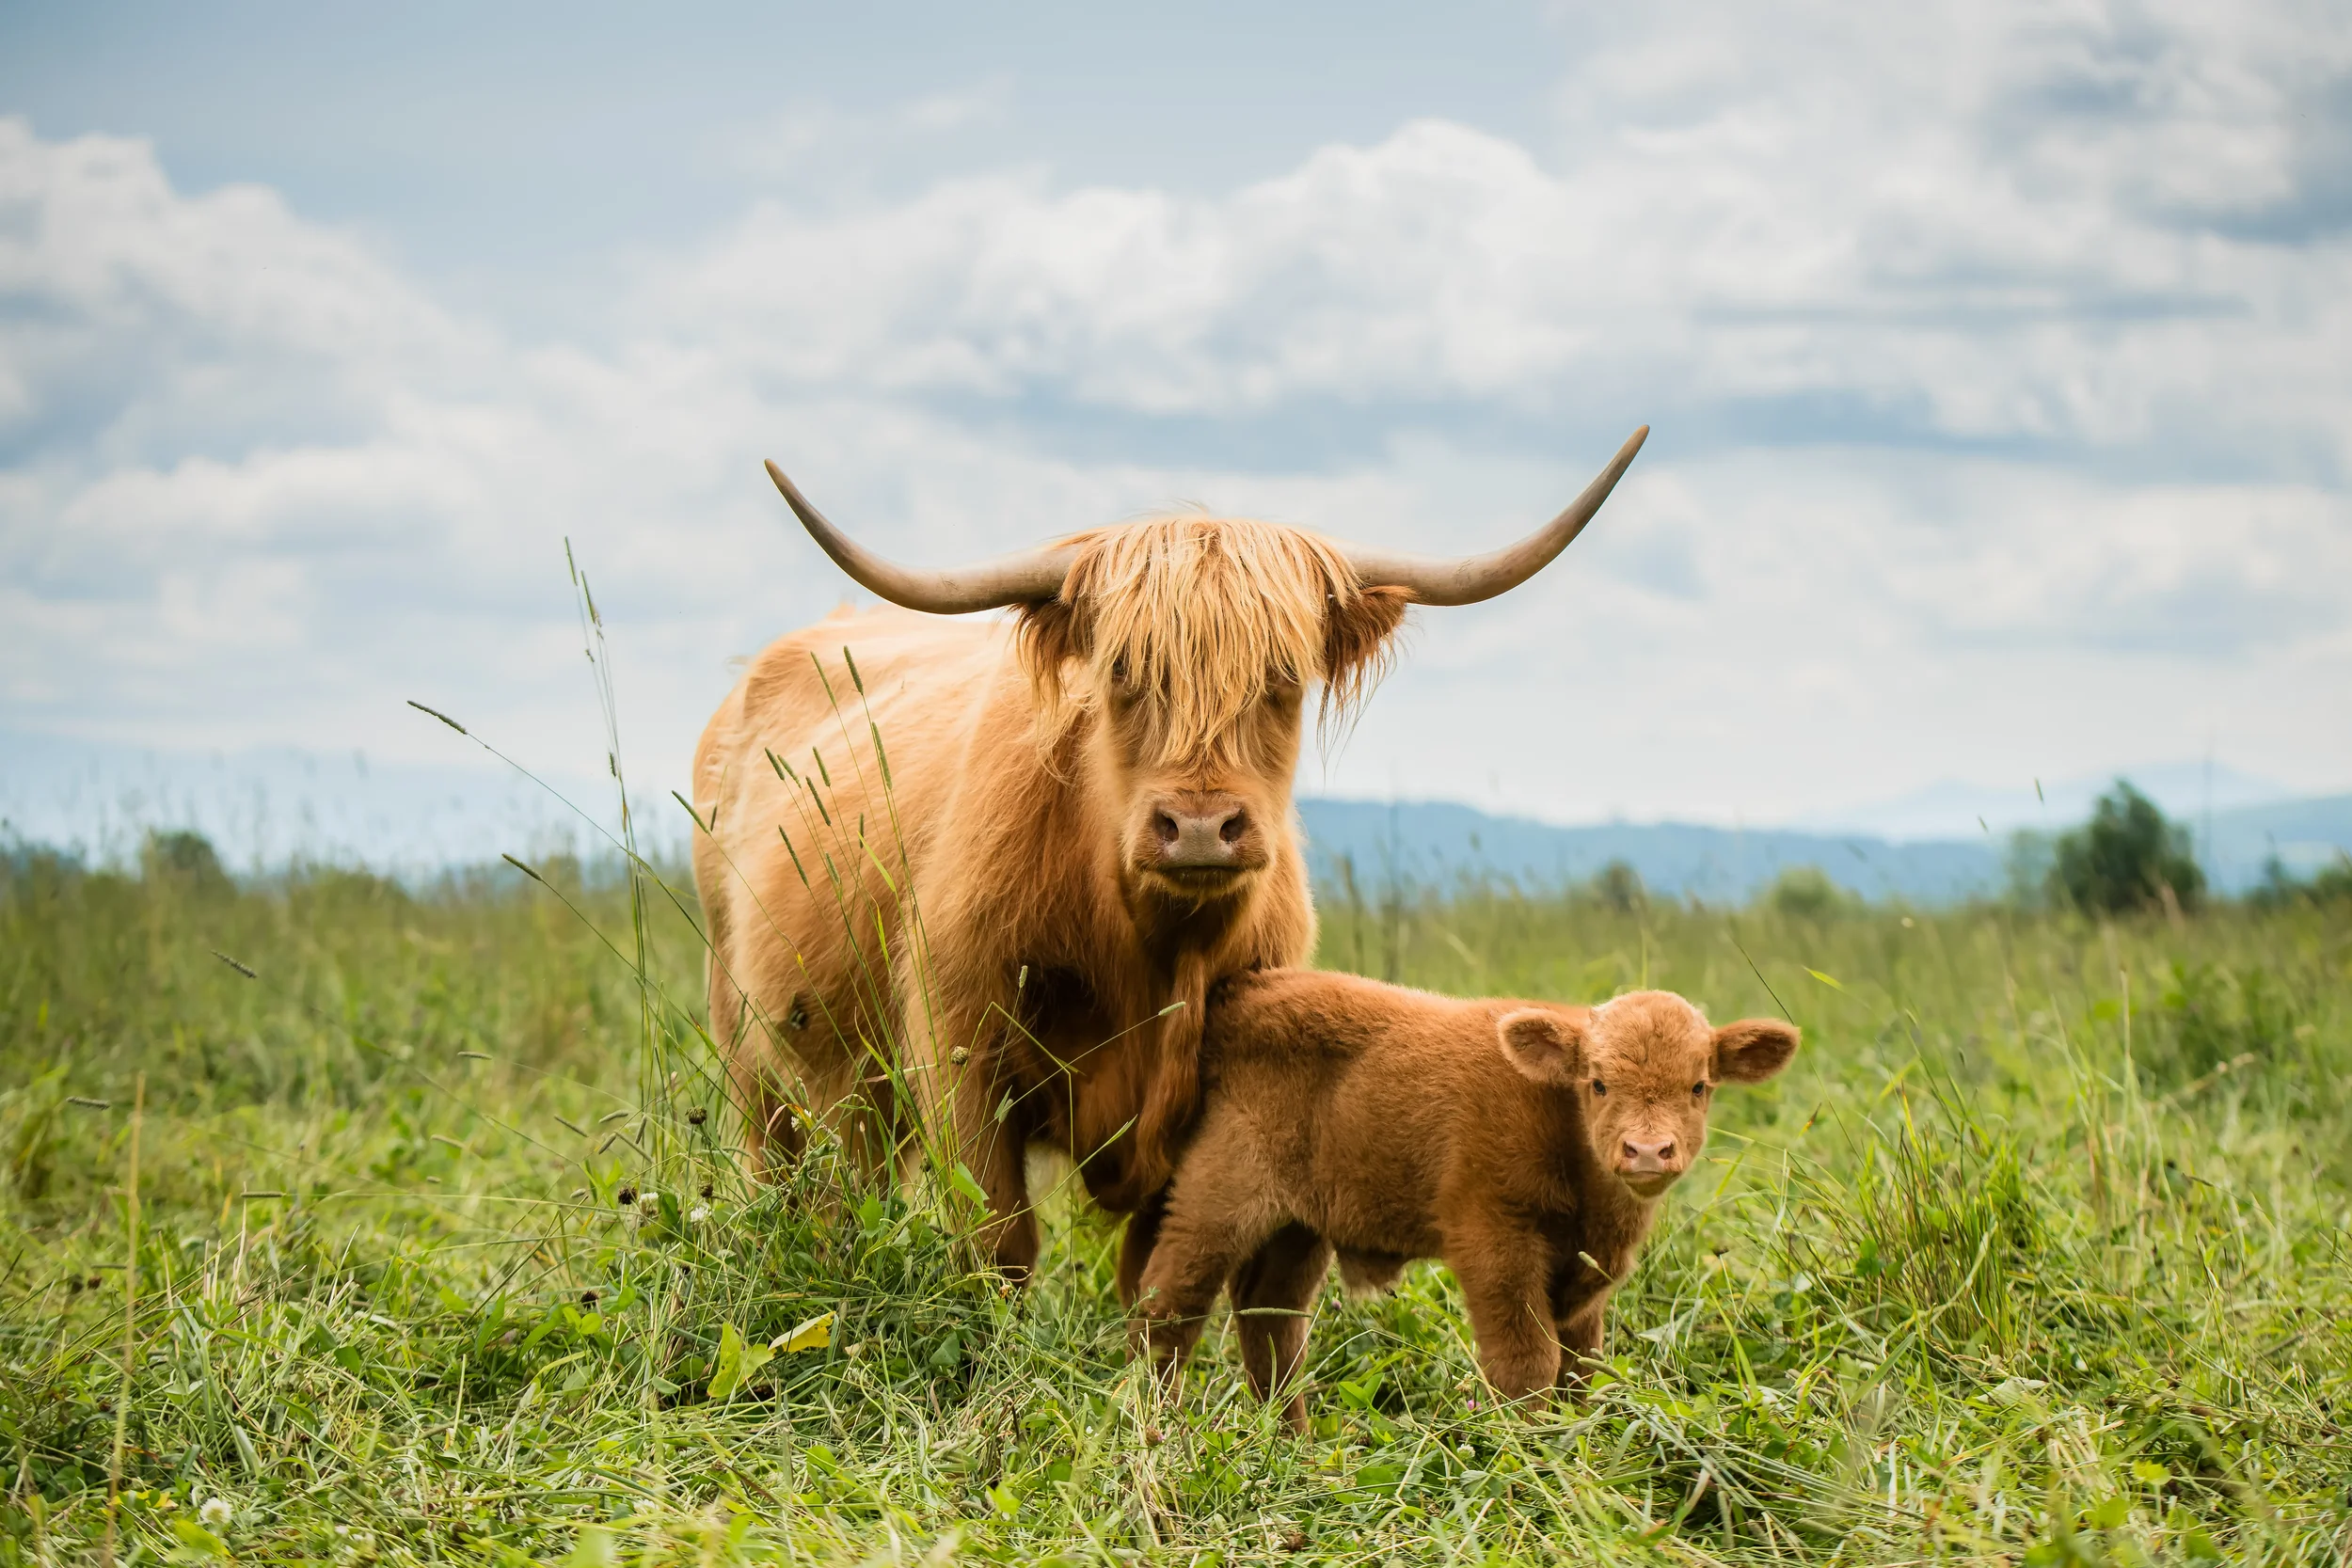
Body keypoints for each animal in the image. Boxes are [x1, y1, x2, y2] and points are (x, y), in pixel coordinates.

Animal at [691, 427, 1647, 1288]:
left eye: (1284, 677)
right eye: (1121, 669)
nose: (1197, 826)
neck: (1148, 945)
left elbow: (1163, 1265)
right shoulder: (958, 1040)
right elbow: (998, 1243)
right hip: (756, 1050)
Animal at [1132, 973, 1799, 1429]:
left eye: (1699, 1086)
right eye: (1598, 1083)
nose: (1646, 1151)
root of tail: (1250, 989)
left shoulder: (1584, 1276)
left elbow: (1581, 1365)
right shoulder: (1494, 1238)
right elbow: (1527, 1362)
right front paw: (1530, 1449)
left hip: (1297, 1227)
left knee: (1271, 1315)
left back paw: (1292, 1440)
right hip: (1217, 1196)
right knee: (1170, 1304)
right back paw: (1159, 1425)